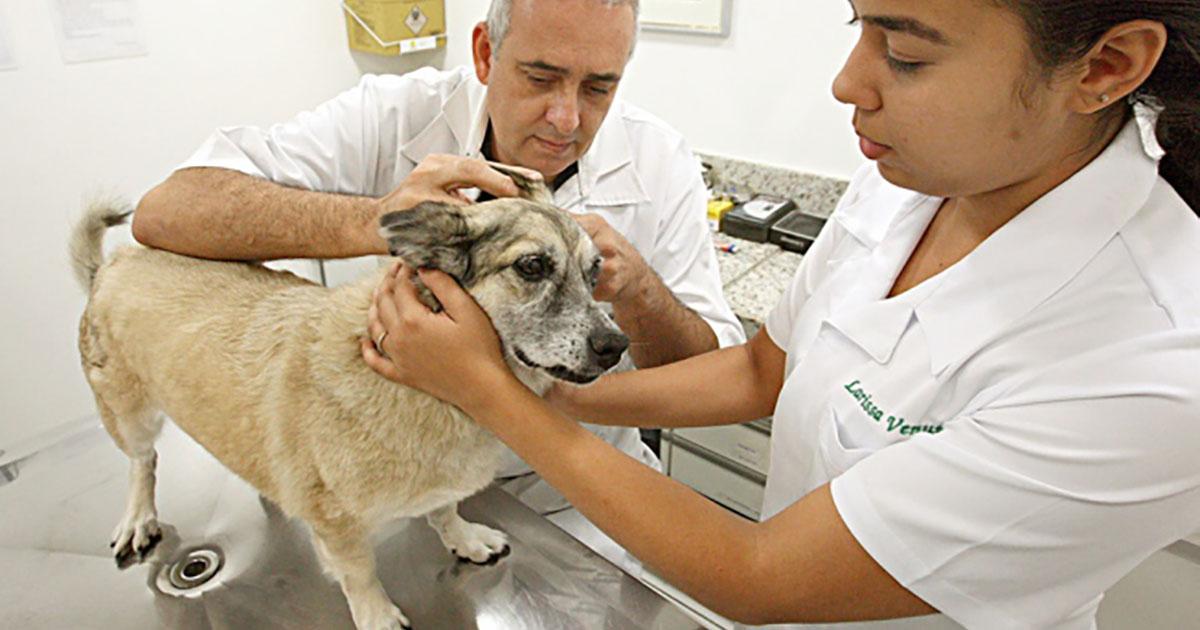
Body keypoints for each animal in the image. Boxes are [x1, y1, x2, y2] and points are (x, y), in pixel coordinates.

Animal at [69, 172, 628, 628]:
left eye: (595, 271)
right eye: (532, 266)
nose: (616, 346)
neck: (424, 392)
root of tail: (110, 265)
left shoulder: (440, 485)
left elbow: (445, 510)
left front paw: (465, 540)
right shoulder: (337, 527)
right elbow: (360, 575)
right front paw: (377, 616)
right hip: (128, 414)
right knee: (143, 463)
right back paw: (138, 517)